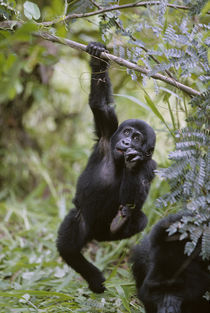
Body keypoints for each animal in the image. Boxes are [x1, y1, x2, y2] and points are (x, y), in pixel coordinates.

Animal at [56, 42, 157, 292]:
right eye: (127, 132)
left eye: (138, 139)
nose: (127, 143)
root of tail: (95, 236)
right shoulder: (108, 129)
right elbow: (100, 105)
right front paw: (98, 56)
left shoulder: (151, 165)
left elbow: (136, 198)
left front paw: (133, 164)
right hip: (82, 219)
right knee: (69, 246)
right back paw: (93, 277)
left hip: (105, 234)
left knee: (138, 218)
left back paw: (118, 225)